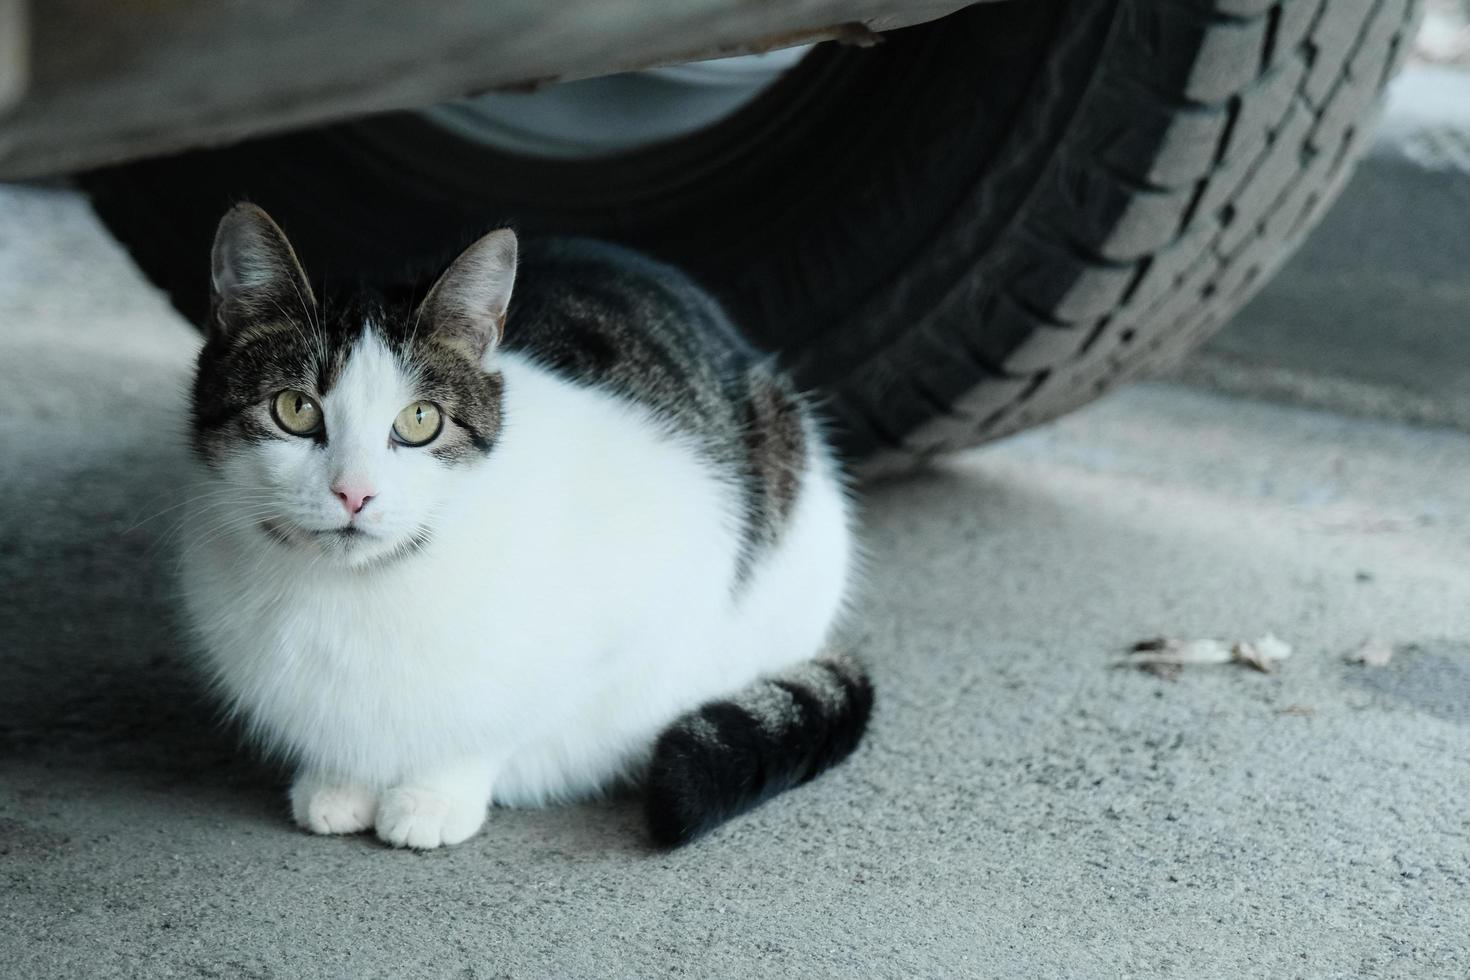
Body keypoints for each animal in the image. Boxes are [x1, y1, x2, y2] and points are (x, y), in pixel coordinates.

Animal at [180, 202, 870, 846]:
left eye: (420, 420)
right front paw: (340, 782)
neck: (358, 593)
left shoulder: (657, 604)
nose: (354, 492)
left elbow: (508, 722)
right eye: (295, 409)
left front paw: (433, 795)